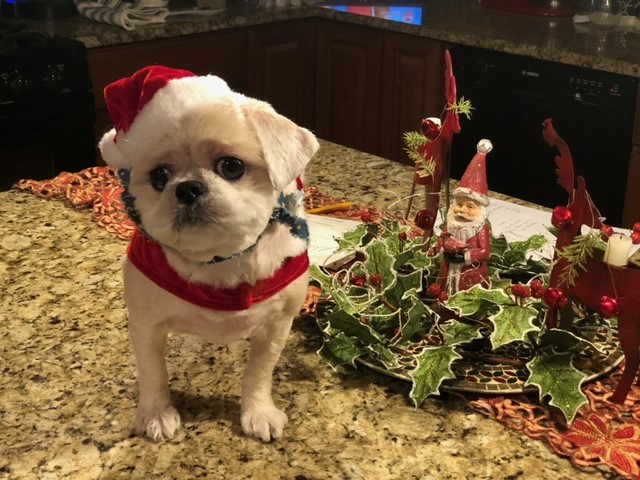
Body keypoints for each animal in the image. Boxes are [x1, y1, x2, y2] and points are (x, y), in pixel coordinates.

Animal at [99, 66, 318, 442]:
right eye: (159, 176)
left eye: (231, 166)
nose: (187, 188)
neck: (219, 260)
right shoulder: (146, 325)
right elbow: (153, 373)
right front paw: (156, 414)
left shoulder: (276, 326)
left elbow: (257, 374)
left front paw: (257, 412)